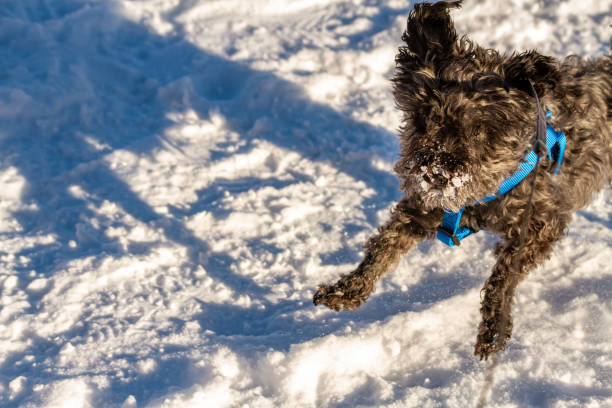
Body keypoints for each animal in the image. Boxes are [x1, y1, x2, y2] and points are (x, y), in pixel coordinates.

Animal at [314, 0, 608, 358]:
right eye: (422, 118)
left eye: (480, 128)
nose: (436, 172)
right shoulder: (424, 207)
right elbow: (383, 246)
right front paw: (348, 289)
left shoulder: (542, 223)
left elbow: (503, 276)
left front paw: (494, 327)